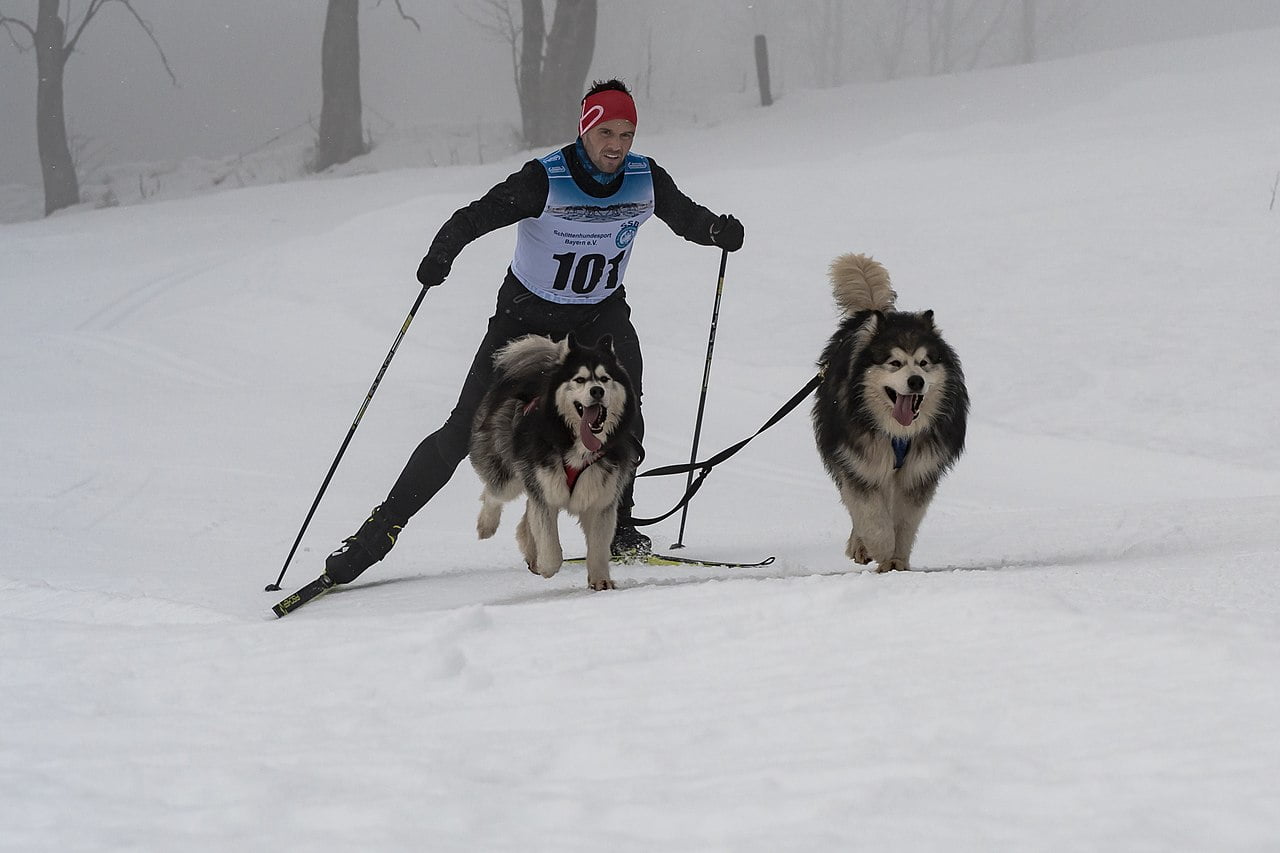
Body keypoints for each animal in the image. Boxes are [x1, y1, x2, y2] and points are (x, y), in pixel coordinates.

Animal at [468, 335, 637, 589]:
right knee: (494, 492)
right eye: (580, 379)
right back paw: (487, 526)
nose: (597, 391)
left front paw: (601, 581)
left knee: (526, 513)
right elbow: (551, 548)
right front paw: (546, 565)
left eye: (605, 378)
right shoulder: (546, 493)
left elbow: (598, 549)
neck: (579, 446)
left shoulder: (601, 498)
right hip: (511, 476)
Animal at [814, 252, 962, 571]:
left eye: (924, 363)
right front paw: (882, 550)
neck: (898, 433)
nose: (916, 381)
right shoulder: (860, 462)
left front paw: (898, 560)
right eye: (894, 363)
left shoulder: (919, 469)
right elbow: (871, 516)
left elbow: (905, 521)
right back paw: (860, 545)